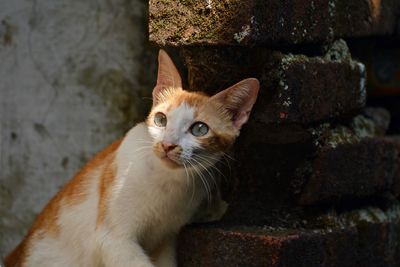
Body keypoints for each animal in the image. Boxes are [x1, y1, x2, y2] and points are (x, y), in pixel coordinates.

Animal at [3, 49, 260, 266]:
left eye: (199, 129)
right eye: (161, 119)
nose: (168, 145)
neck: (166, 183)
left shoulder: (166, 239)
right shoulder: (113, 239)